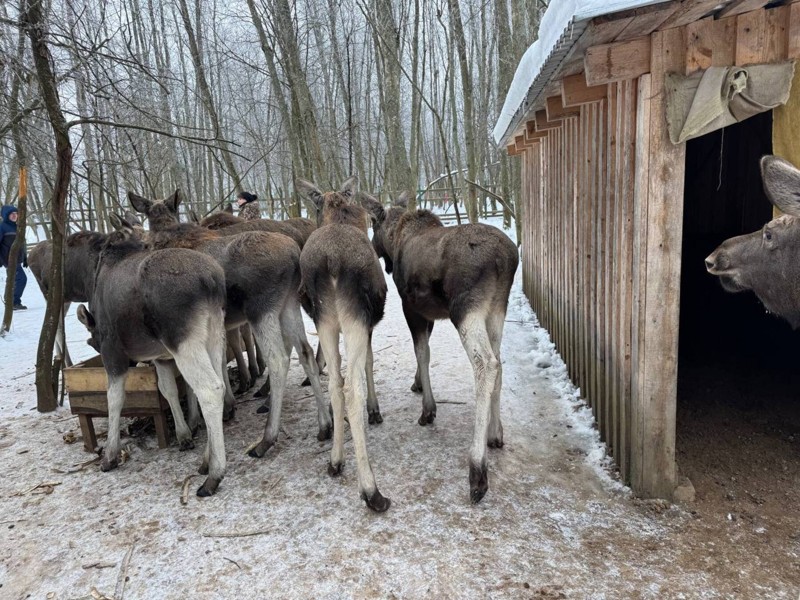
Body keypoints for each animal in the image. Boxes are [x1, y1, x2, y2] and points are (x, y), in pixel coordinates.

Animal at [364, 195, 520, 504]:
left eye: (373, 222)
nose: (372, 246)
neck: (396, 239)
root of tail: (507, 259)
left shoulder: (411, 307)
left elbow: (422, 353)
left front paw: (428, 409)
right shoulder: (431, 315)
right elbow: (424, 352)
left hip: (466, 308)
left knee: (486, 363)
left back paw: (477, 471)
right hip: (497, 308)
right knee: (499, 362)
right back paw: (495, 433)